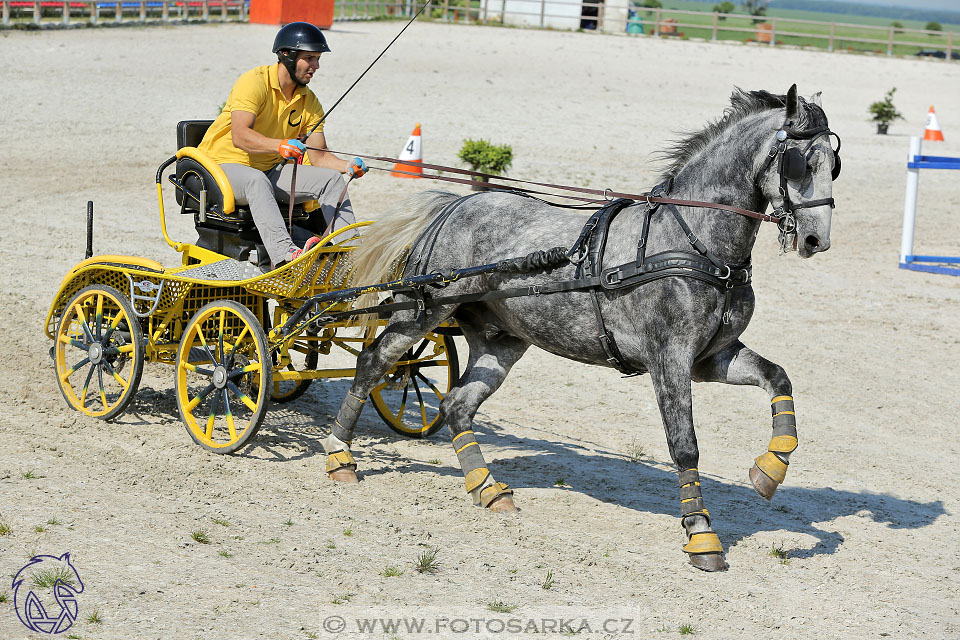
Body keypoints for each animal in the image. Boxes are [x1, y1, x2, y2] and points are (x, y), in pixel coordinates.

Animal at [318, 85, 836, 568]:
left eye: (834, 163)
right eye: (799, 163)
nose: (816, 239)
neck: (693, 242)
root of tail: (452, 207)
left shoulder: (710, 358)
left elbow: (778, 378)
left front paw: (770, 469)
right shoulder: (669, 359)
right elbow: (684, 446)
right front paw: (701, 535)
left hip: (501, 340)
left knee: (457, 406)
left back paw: (487, 489)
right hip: (422, 312)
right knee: (373, 363)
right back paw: (340, 457)